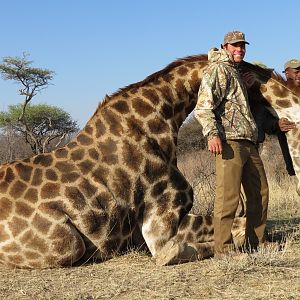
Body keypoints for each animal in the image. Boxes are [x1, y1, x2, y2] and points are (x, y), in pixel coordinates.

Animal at [0, 55, 298, 268]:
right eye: (248, 83)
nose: (287, 111)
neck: (162, 122)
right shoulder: (159, 227)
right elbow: (224, 229)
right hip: (68, 243)